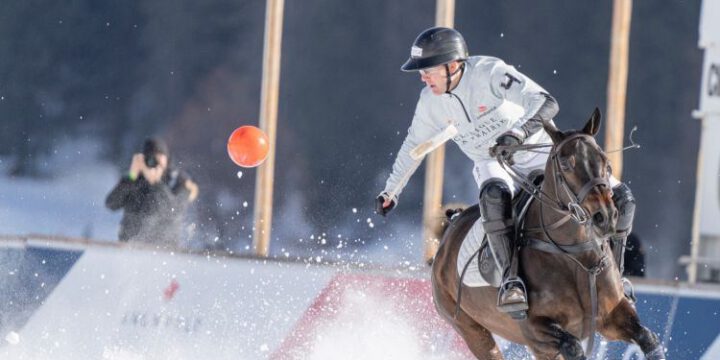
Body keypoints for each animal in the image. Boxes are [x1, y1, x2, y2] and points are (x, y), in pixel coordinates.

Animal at [430, 109, 668, 360]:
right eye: (565, 164)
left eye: (604, 159)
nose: (605, 216)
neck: (576, 254)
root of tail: (449, 234)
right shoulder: (536, 330)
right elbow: (572, 347)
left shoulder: (611, 316)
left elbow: (648, 338)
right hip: (470, 329)